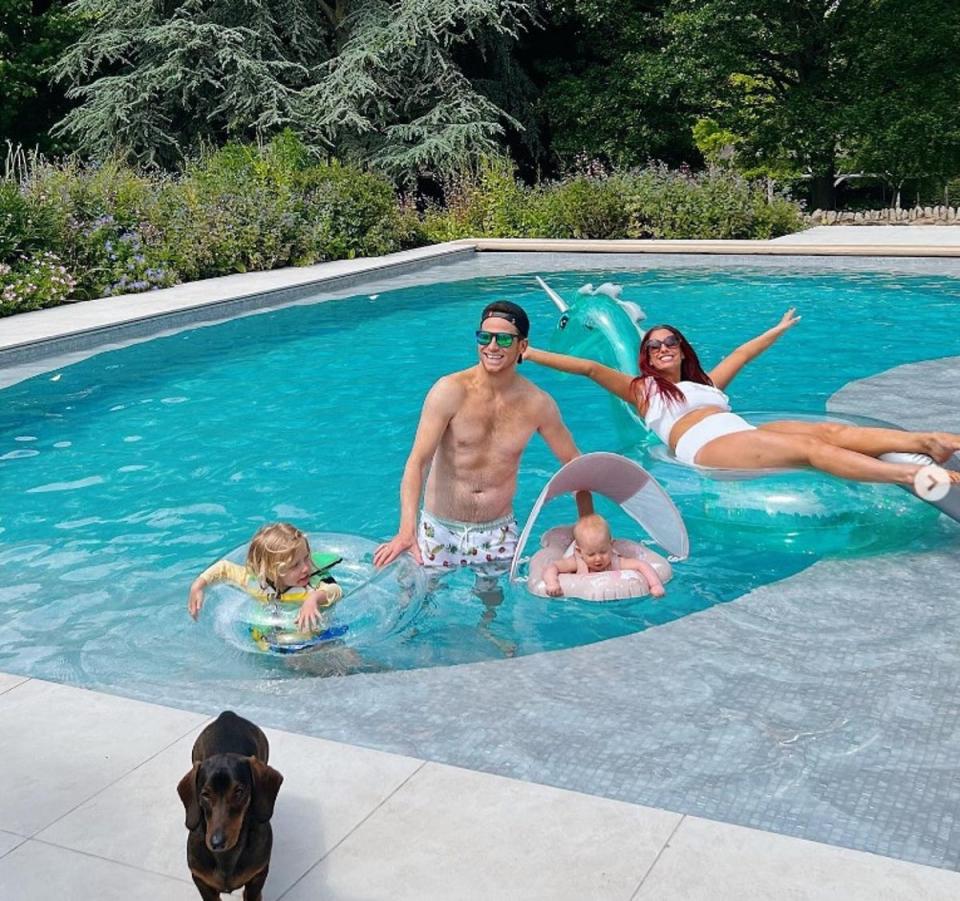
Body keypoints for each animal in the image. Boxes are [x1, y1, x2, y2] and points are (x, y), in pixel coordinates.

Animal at [177, 712, 284, 900]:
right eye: (205, 794)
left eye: (239, 792)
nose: (217, 842)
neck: (226, 858)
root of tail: (228, 715)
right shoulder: (202, 882)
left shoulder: (257, 878)